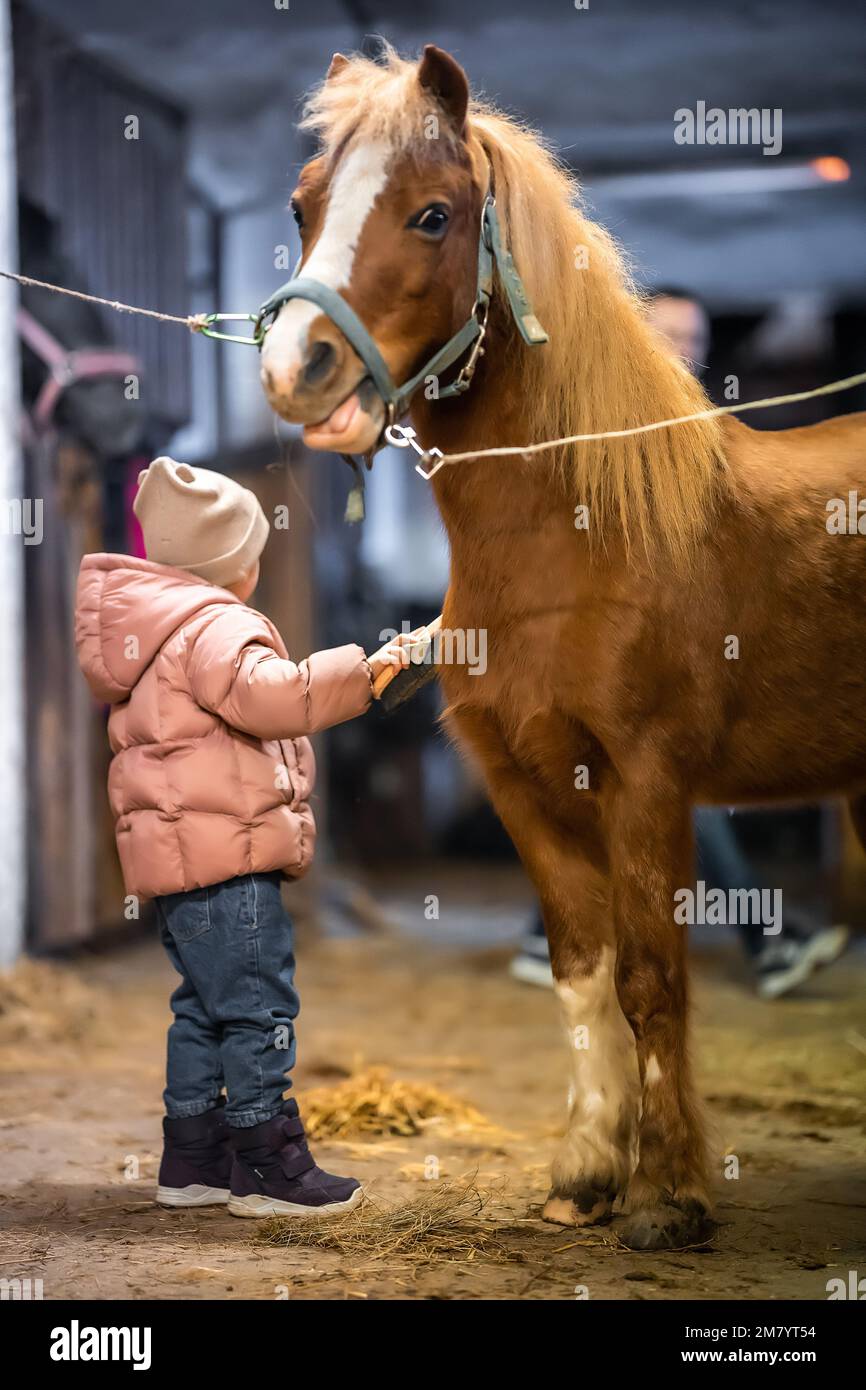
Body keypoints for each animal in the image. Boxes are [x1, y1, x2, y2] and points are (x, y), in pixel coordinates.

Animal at [257, 43, 866, 1250]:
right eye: (303, 206)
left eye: (433, 214)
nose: (295, 367)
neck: (583, 533)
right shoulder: (522, 783)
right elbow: (582, 974)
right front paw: (585, 1175)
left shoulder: (645, 782)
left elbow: (651, 979)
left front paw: (668, 1196)